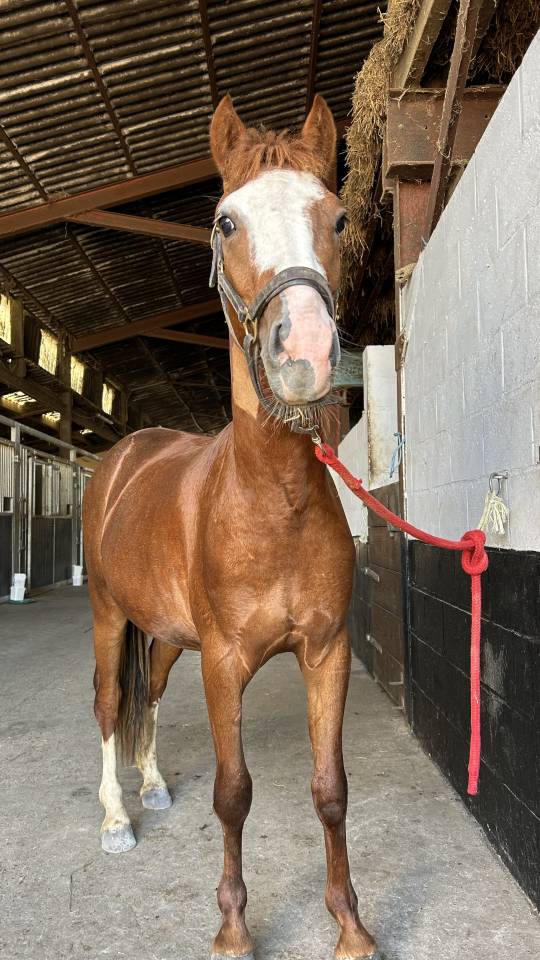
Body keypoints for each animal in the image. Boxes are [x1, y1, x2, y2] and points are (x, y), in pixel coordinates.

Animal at [83, 94, 380, 960]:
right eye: (224, 222)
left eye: (338, 215)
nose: (305, 352)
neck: (268, 502)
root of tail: (125, 457)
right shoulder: (223, 664)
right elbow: (234, 792)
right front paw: (234, 926)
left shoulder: (326, 652)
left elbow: (330, 788)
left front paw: (350, 925)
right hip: (110, 615)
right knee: (110, 703)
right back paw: (116, 818)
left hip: (164, 633)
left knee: (148, 695)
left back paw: (151, 788)